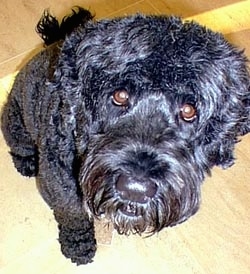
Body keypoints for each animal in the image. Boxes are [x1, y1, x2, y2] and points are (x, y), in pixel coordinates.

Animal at [0, 6, 249, 264]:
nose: (135, 189)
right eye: (119, 96)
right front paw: (78, 246)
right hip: (14, 123)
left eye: (189, 111)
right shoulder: (60, 186)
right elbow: (73, 215)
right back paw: (27, 162)